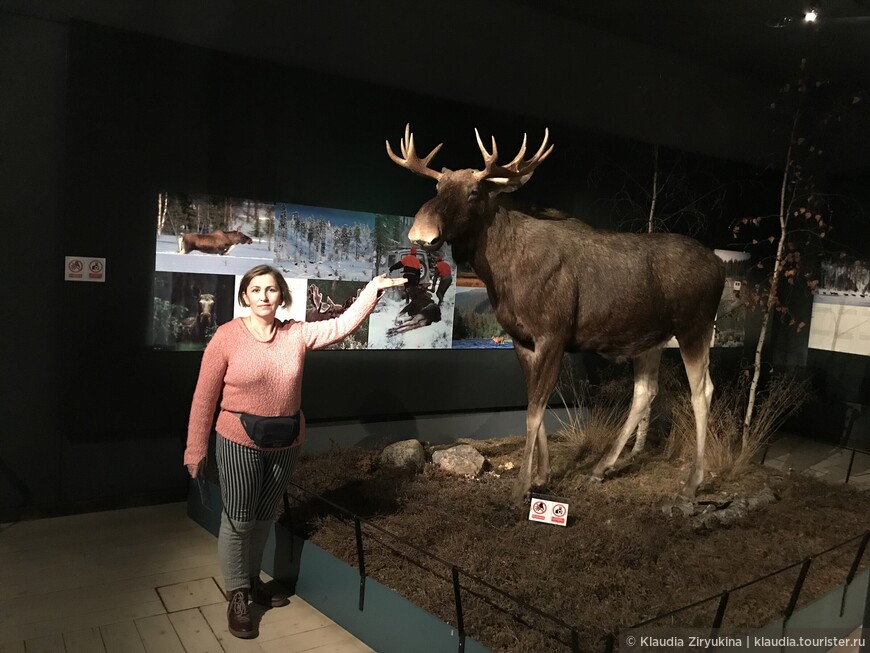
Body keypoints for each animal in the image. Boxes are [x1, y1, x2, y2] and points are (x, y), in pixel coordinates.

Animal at [388, 125, 728, 502]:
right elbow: (532, 404)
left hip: (695, 327)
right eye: (437, 187)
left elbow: (535, 411)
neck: (501, 273)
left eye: (474, 191)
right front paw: (541, 475)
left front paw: (522, 485)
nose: (422, 232)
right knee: (645, 392)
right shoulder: (522, 339)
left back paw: (693, 482)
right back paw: (601, 467)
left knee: (702, 391)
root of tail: (720, 267)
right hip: (649, 340)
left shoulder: (554, 334)